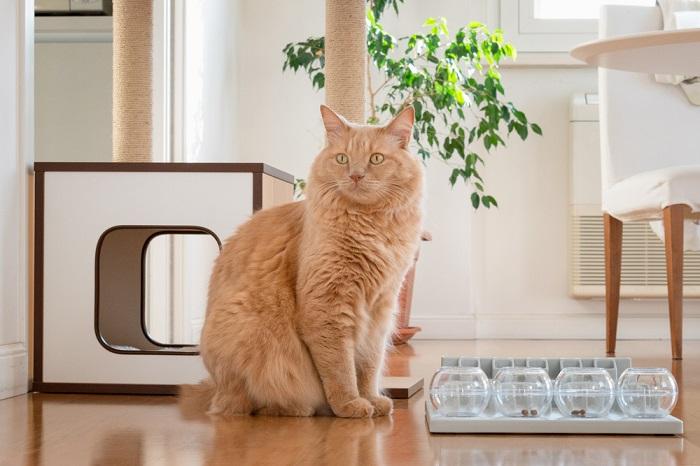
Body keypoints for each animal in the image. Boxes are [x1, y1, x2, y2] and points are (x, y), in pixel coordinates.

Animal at [200, 105, 424, 418]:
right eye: (342, 158)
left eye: (376, 159)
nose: (356, 175)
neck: (371, 226)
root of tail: (214, 388)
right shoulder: (327, 306)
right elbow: (340, 369)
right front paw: (350, 404)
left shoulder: (380, 308)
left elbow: (368, 365)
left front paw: (372, 399)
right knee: (252, 404)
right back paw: (298, 408)